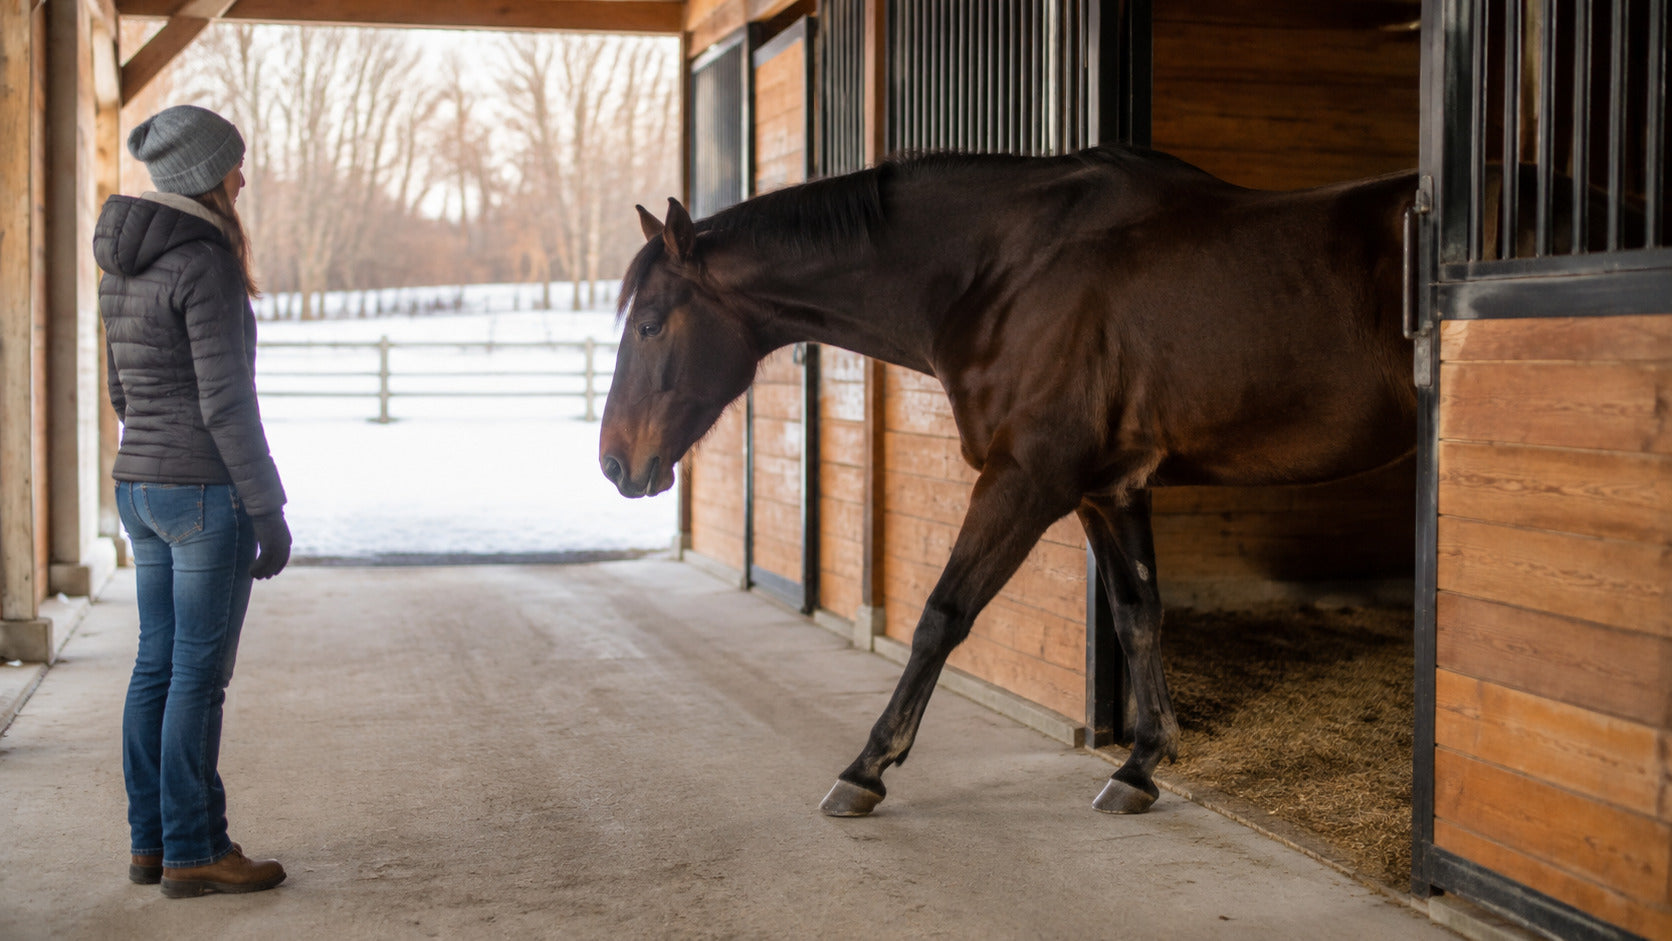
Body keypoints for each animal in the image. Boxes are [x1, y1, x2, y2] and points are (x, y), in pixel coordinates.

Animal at [599, 144, 1417, 817]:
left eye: (649, 323)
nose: (613, 463)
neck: (1006, 273)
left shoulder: (1027, 478)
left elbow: (942, 614)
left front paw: (867, 767)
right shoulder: (1107, 490)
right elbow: (1137, 613)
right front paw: (1140, 767)